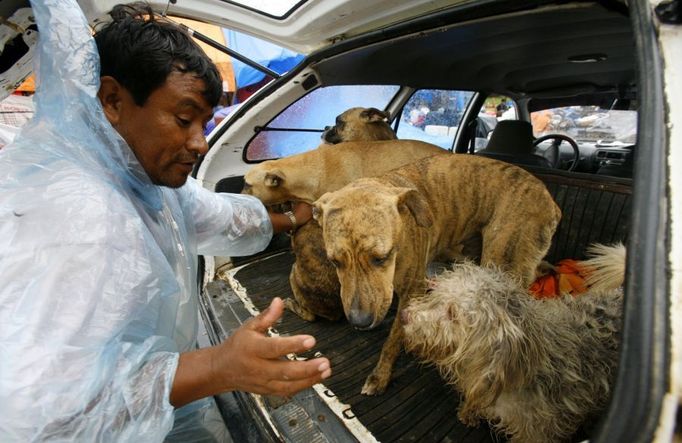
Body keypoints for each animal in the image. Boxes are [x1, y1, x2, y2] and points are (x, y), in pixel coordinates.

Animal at [312, 155, 556, 396]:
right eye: (334, 261)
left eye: (381, 257)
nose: (359, 322)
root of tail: (549, 199)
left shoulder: (411, 292)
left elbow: (393, 339)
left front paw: (381, 376)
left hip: (502, 264)